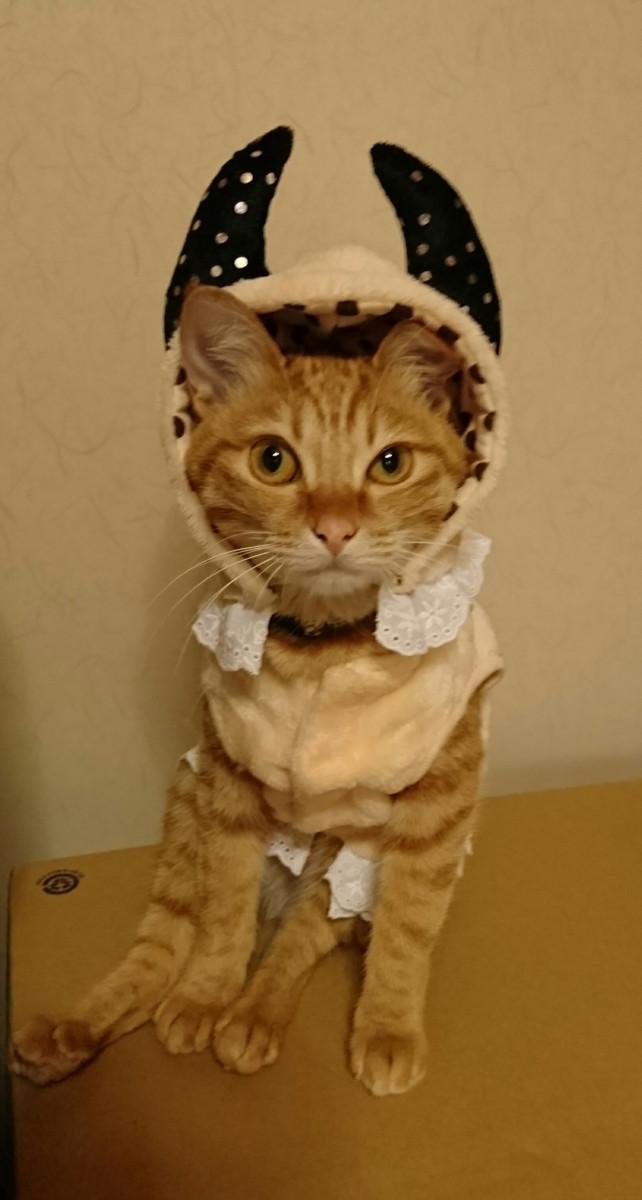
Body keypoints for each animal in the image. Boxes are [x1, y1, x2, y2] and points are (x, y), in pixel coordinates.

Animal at [11, 286, 488, 1097]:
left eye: (390, 463)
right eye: (274, 460)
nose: (336, 527)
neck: (322, 648)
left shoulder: (437, 807)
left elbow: (406, 930)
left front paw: (389, 1027)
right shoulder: (226, 780)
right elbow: (223, 914)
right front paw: (205, 994)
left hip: (343, 859)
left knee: (298, 940)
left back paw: (253, 1017)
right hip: (185, 810)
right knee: (165, 941)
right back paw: (70, 1033)